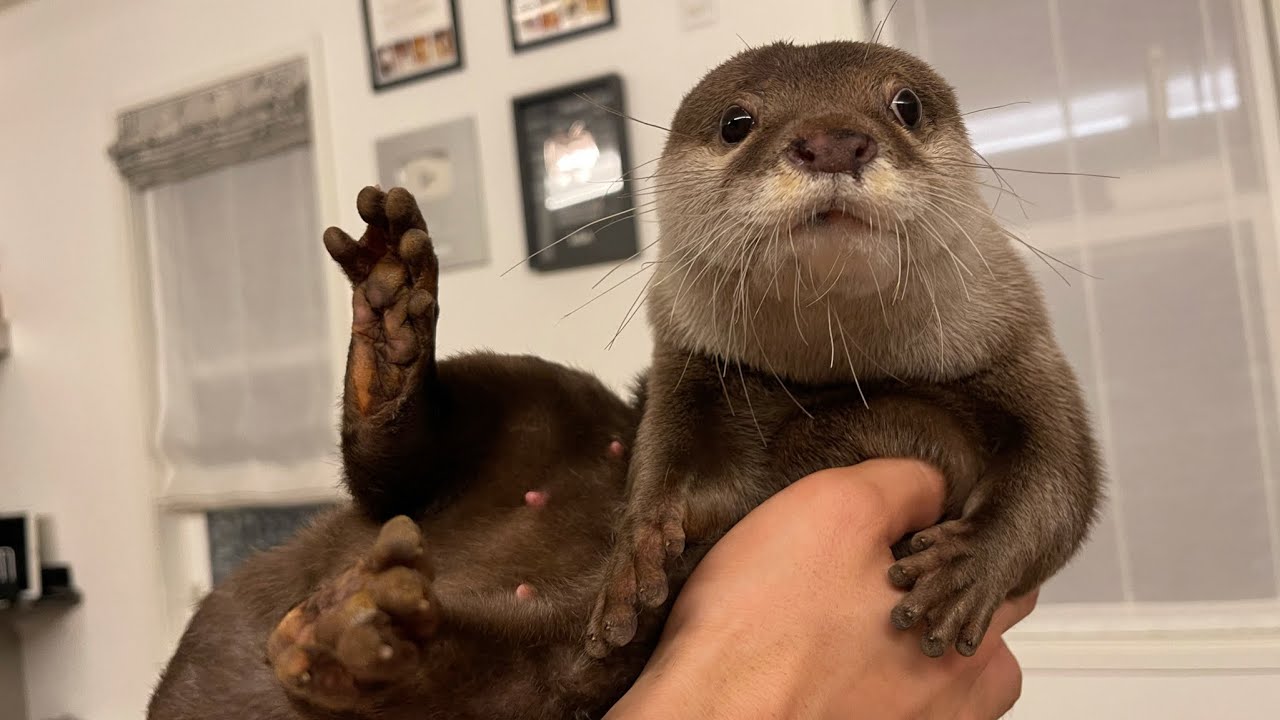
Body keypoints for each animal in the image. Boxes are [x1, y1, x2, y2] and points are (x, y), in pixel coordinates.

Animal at [147, 40, 1101, 719]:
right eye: (738, 121)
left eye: (904, 103)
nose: (833, 137)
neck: (835, 382)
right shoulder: (686, 362)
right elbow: (662, 449)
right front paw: (643, 538)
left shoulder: (1020, 352)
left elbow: (1063, 483)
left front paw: (970, 569)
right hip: (536, 402)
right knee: (400, 468)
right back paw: (391, 318)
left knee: (531, 679)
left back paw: (368, 643)